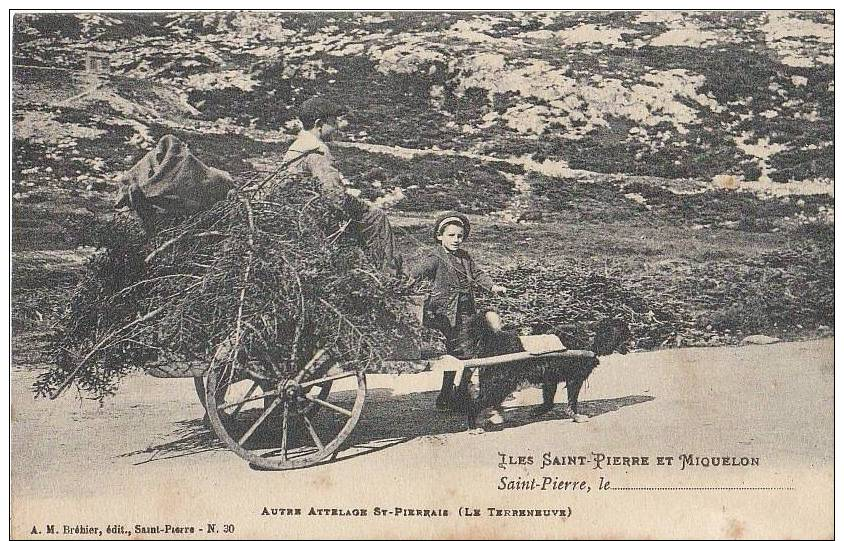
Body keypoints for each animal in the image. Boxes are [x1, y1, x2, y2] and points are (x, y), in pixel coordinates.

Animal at [462, 316, 632, 426]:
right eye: (626, 333)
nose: (633, 341)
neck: (589, 338)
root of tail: (492, 340)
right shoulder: (574, 379)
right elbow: (572, 402)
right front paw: (576, 416)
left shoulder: (550, 378)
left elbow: (549, 401)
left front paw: (539, 411)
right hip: (499, 384)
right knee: (476, 404)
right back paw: (474, 426)